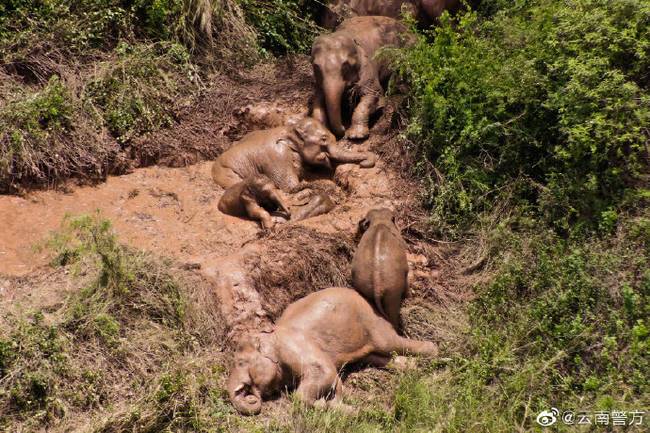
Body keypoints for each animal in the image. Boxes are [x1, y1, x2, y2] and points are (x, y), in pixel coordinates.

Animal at [227, 286, 436, 414]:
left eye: (241, 362)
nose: (251, 397)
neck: (269, 335)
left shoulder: (293, 346)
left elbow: (323, 372)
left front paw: (324, 403)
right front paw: (343, 407)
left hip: (371, 321)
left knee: (389, 343)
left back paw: (434, 353)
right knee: (376, 356)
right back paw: (411, 367)